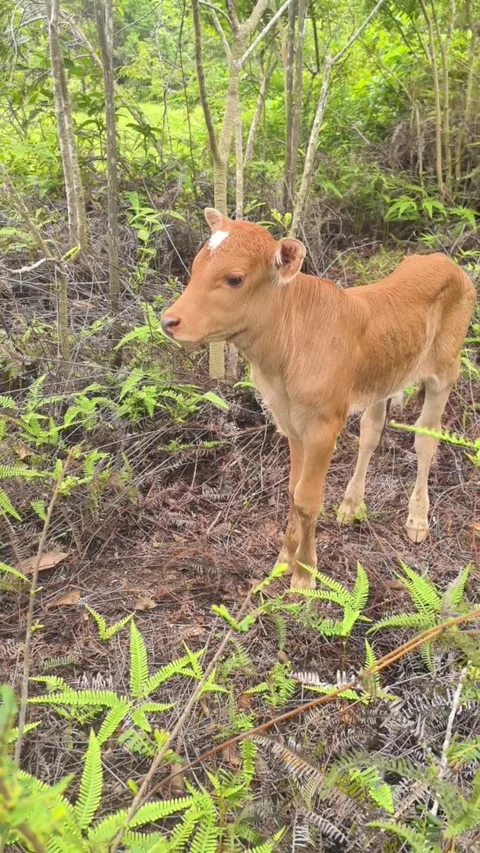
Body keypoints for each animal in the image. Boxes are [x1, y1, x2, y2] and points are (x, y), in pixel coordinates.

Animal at [161, 208, 476, 589]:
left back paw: (417, 518)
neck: (281, 357)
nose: (169, 321)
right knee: (371, 431)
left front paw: (304, 573)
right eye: (195, 265)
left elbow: (308, 499)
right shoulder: (291, 423)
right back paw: (351, 504)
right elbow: (293, 490)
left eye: (234, 279)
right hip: (384, 375)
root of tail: (444, 261)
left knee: (426, 438)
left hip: (446, 369)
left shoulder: (324, 427)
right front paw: (284, 558)